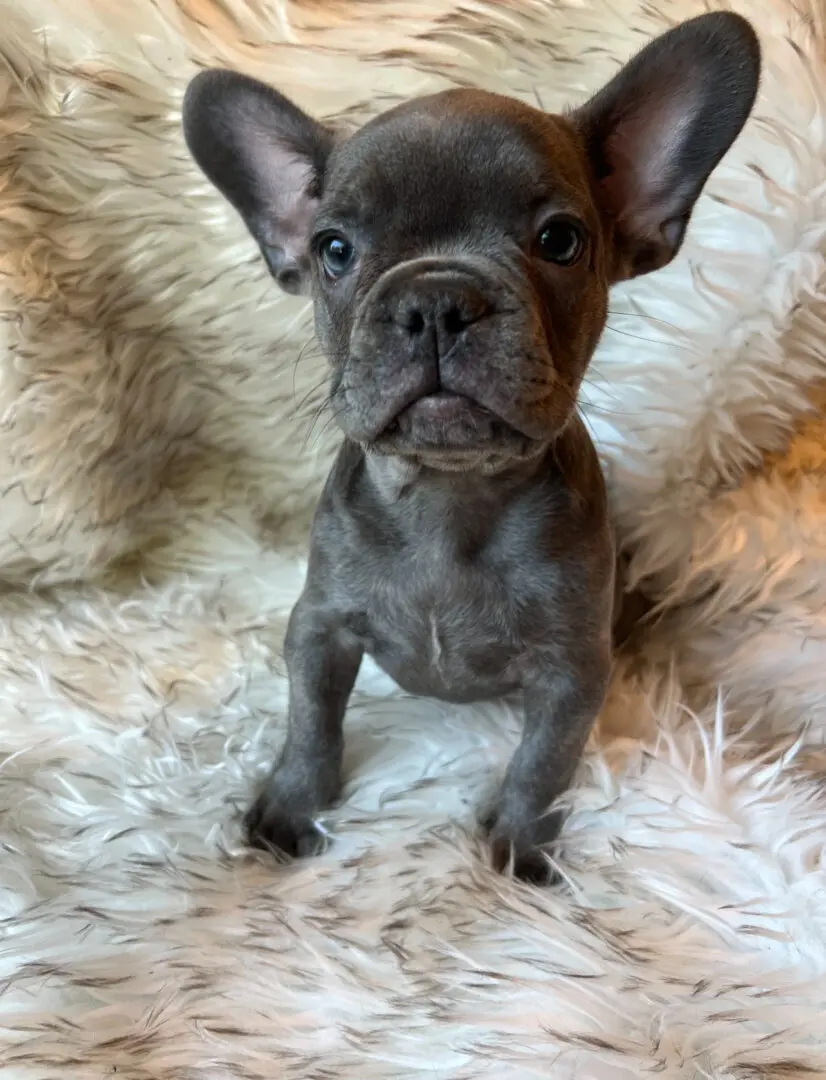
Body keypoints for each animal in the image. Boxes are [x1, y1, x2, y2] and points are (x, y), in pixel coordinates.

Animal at [182, 12, 760, 881]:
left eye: (560, 241)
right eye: (334, 250)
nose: (436, 300)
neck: (449, 498)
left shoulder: (569, 673)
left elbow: (543, 763)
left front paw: (519, 849)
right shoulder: (319, 629)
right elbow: (311, 724)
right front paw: (290, 807)